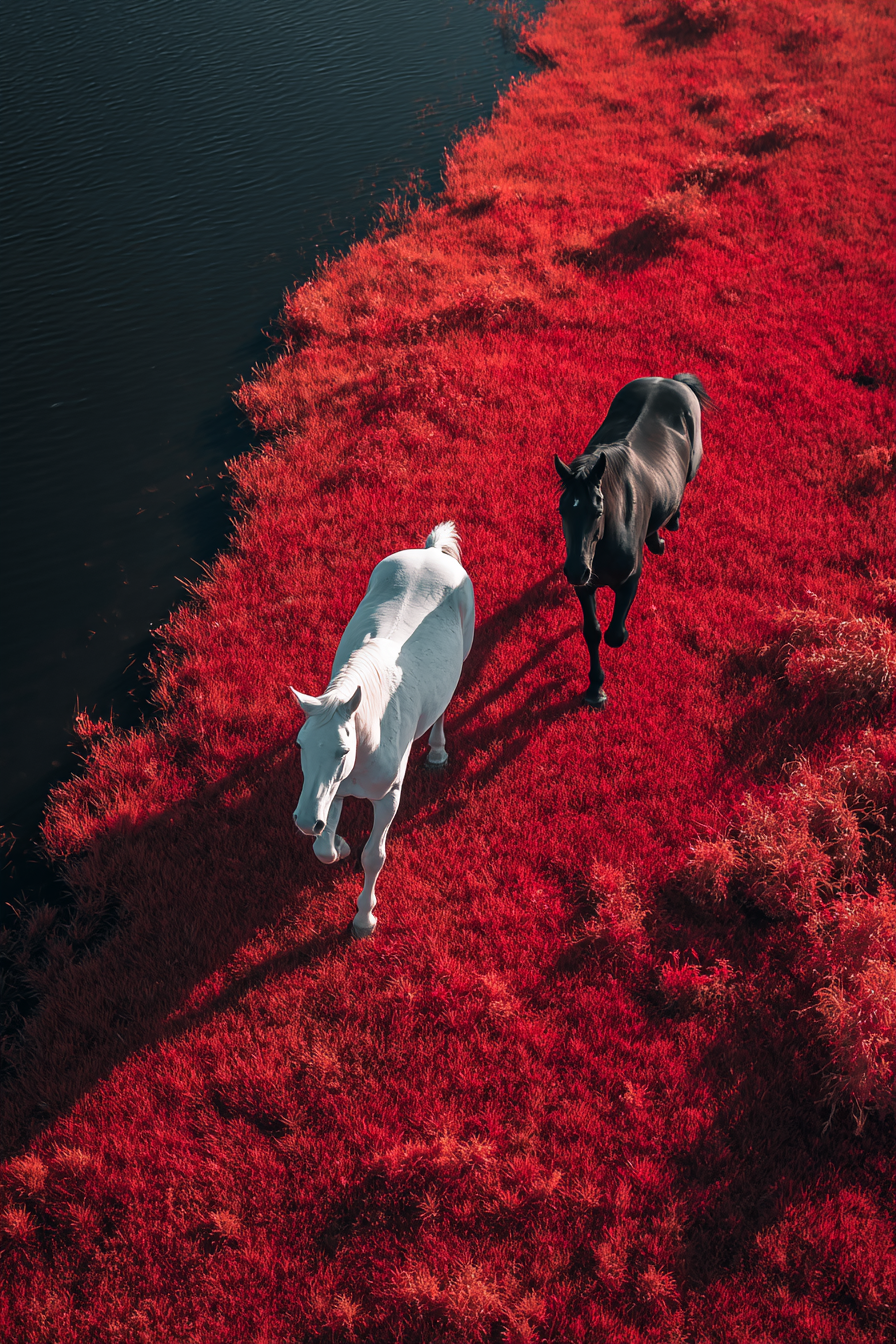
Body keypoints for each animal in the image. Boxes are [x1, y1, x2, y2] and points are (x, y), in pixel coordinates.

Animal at [290, 522, 475, 938]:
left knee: (442, 708)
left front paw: (364, 918)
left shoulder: (388, 796)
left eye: (342, 750)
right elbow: (323, 850)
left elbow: (374, 856)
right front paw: (339, 843)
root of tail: (432, 552)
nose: (306, 821)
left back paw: (437, 752)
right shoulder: (334, 790)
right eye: (300, 746)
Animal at [554, 373, 713, 708]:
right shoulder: (585, 586)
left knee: (681, 492)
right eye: (562, 510)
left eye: (598, 510)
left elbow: (615, 635)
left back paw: (667, 529)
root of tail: (670, 380)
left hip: (693, 466)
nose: (575, 570)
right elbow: (593, 632)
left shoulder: (630, 580)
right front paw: (595, 689)